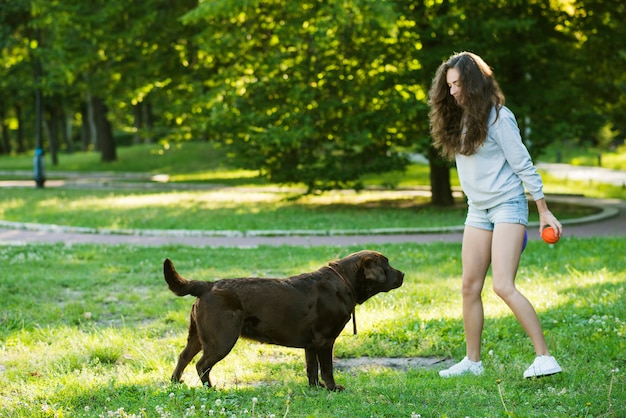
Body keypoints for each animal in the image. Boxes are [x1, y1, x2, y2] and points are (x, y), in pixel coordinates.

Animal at [163, 250, 402, 390]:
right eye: (387, 265)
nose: (403, 275)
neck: (344, 281)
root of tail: (208, 285)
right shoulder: (325, 341)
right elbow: (327, 368)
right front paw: (333, 388)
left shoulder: (311, 344)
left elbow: (311, 368)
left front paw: (315, 388)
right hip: (221, 339)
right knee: (202, 364)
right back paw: (211, 389)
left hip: (197, 336)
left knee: (183, 357)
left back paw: (175, 382)